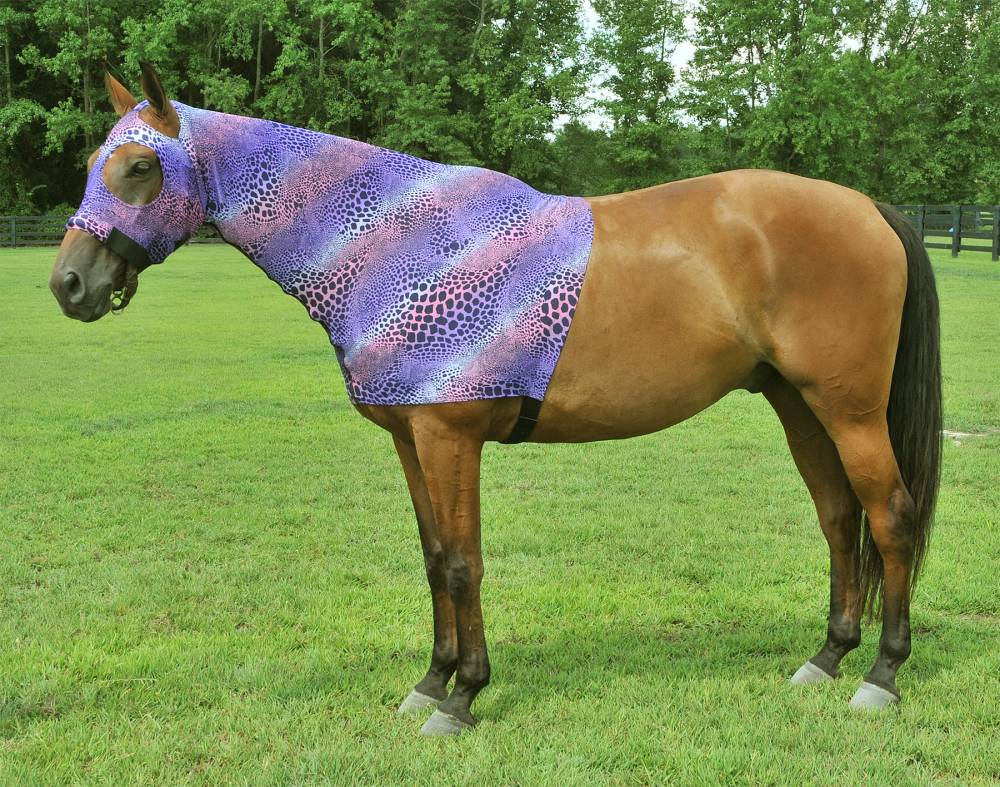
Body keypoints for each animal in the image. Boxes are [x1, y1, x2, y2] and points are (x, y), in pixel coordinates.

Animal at [50, 63, 941, 736]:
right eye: (95, 163)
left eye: (138, 169)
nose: (69, 285)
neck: (394, 242)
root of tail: (866, 207)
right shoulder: (410, 439)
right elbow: (432, 558)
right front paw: (430, 681)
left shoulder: (451, 436)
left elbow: (463, 562)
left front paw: (463, 697)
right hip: (800, 405)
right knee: (840, 517)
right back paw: (827, 658)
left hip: (849, 411)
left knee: (891, 517)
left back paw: (882, 674)